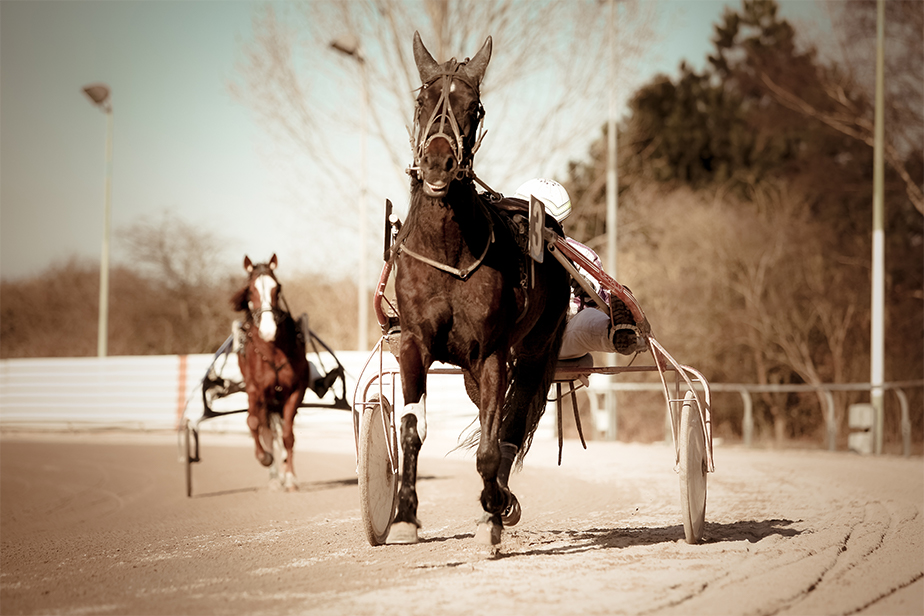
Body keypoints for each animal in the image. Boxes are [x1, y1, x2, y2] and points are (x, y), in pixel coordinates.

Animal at [229, 254, 308, 490]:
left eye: (277, 288)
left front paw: (290, 477)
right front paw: (265, 458)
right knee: (265, 430)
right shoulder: (255, 391)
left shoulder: (295, 390)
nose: (268, 329)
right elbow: (253, 423)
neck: (273, 351)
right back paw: (273, 476)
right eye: (250, 290)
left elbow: (288, 435)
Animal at [384, 33, 572, 544]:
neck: (449, 252)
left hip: (534, 348)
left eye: (475, 106)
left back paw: (501, 497)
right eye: (422, 100)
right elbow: (412, 427)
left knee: (513, 416)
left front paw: (492, 511)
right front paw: (404, 514)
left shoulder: (491, 353)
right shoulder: (414, 344)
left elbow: (491, 440)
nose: (438, 162)